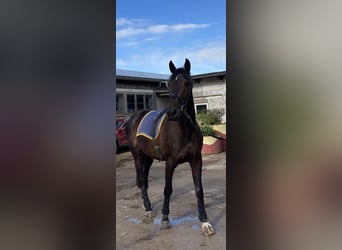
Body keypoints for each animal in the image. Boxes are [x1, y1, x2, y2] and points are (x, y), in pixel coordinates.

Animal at [127, 58, 215, 236]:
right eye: (168, 84)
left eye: (187, 83)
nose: (172, 112)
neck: (184, 130)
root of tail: (135, 117)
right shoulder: (170, 162)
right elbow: (167, 189)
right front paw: (165, 219)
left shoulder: (196, 160)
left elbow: (199, 190)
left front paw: (205, 222)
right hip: (138, 156)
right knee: (141, 179)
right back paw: (148, 208)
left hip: (148, 158)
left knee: (144, 179)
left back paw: (146, 205)